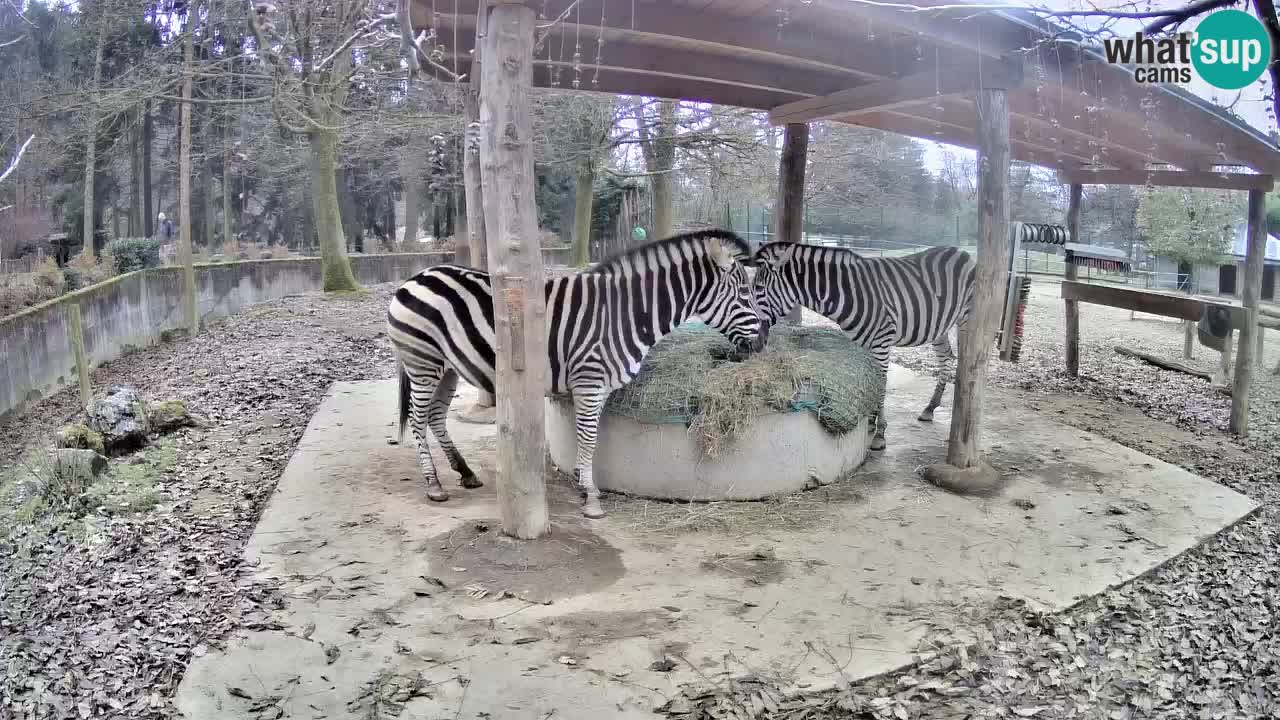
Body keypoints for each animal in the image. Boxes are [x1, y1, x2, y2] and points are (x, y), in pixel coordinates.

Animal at [378, 229, 757, 515]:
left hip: (448, 368)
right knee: (417, 419)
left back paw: (466, 472)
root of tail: (415, 276)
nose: (762, 340)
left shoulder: (600, 386)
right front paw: (590, 498)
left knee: (435, 417)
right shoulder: (589, 381)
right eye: (744, 293)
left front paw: (581, 482)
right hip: (423, 362)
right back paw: (434, 485)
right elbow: (587, 437)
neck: (624, 313)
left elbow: (590, 437)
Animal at [747, 243, 972, 450]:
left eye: (758, 289)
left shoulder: (882, 342)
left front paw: (880, 433)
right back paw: (930, 408)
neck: (848, 293)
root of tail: (959, 251)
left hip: (965, 320)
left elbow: (880, 385)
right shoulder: (864, 344)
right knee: (945, 358)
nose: (754, 343)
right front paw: (870, 421)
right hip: (939, 326)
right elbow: (870, 383)